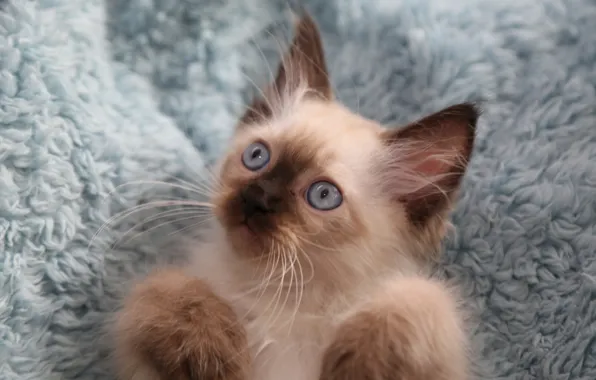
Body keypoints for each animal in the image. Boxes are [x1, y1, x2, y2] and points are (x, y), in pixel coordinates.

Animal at [114, 11, 480, 380]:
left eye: (323, 195)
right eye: (257, 156)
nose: (257, 198)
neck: (284, 297)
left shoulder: (430, 328)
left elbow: (422, 299)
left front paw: (362, 367)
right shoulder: (156, 310)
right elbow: (162, 288)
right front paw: (211, 359)